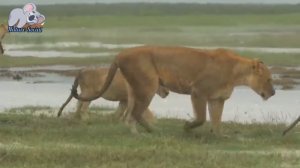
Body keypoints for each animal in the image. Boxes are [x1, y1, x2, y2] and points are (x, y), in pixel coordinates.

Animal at [72, 46, 274, 135]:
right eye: (269, 79)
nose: (273, 93)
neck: (237, 73)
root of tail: (120, 54)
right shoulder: (198, 92)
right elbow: (201, 118)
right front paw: (186, 127)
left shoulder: (217, 99)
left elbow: (217, 121)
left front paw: (218, 137)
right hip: (148, 85)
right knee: (136, 112)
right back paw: (153, 131)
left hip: (134, 89)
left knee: (129, 114)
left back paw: (136, 133)